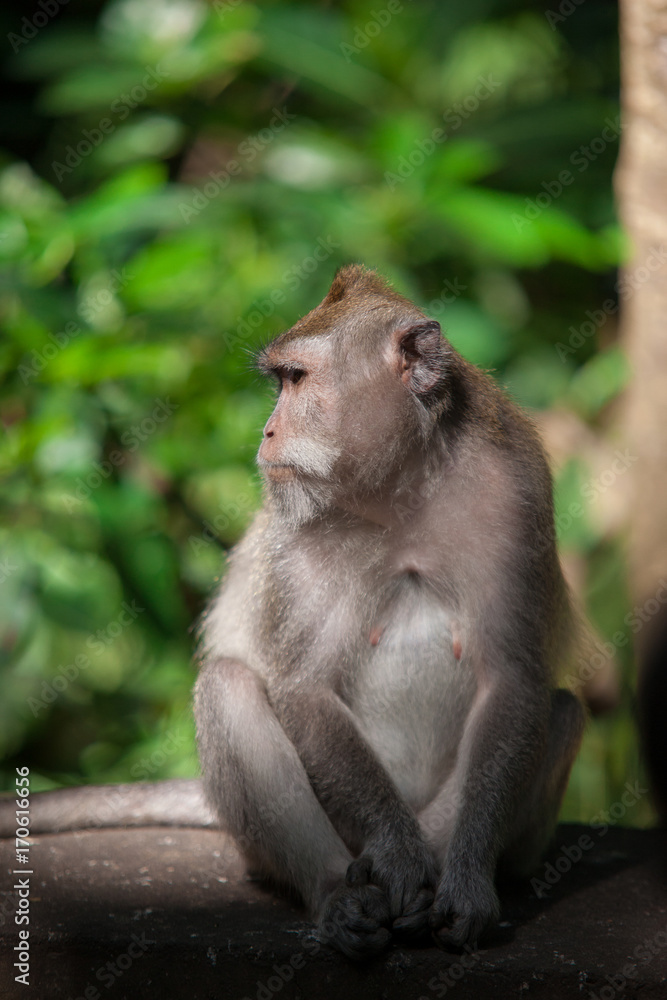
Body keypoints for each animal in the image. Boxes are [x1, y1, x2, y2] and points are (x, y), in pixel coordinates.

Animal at [0, 266, 584, 960]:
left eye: (297, 380)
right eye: (280, 381)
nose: (267, 432)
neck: (403, 491)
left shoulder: (517, 497)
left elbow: (513, 682)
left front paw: (464, 881)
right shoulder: (298, 532)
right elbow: (303, 687)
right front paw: (399, 859)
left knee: (561, 708)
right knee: (227, 687)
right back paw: (340, 894)